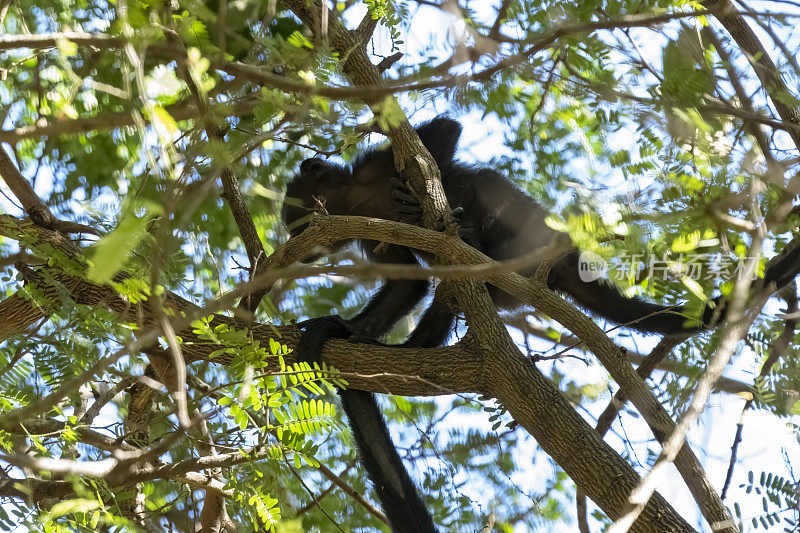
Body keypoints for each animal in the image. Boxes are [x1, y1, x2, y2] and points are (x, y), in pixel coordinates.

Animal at [284, 117, 800, 532]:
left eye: (294, 220)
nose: (296, 244)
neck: (359, 200)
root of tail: (561, 263)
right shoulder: (363, 234)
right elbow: (403, 287)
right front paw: (343, 329)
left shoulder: (374, 166)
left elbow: (439, 139)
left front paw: (416, 191)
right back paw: (417, 346)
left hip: (526, 234)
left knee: (479, 188)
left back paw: (459, 247)